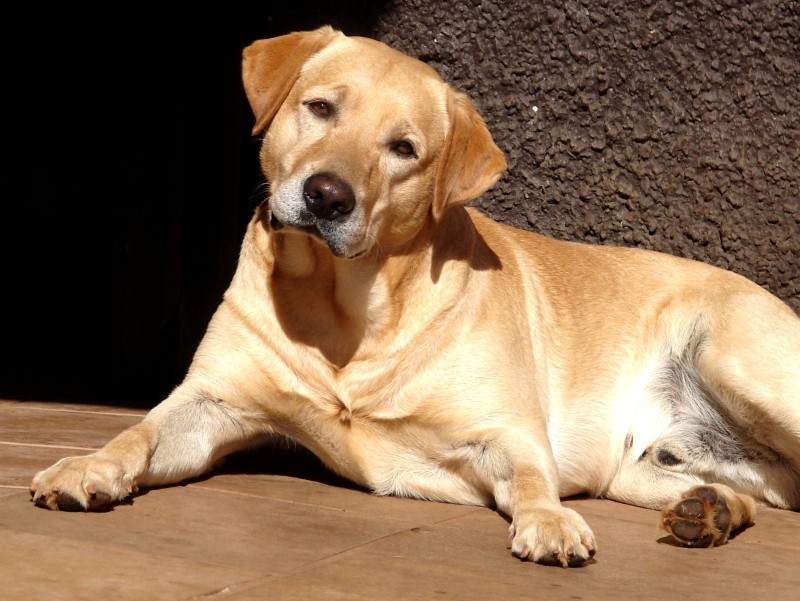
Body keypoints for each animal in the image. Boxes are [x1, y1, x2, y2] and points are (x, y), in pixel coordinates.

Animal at [29, 24, 800, 568]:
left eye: (403, 149)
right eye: (319, 108)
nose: (326, 195)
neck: (347, 311)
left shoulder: (511, 432)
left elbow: (532, 480)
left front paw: (550, 520)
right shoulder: (210, 402)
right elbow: (137, 431)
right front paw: (86, 464)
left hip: (736, 358)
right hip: (640, 472)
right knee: (761, 495)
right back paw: (713, 511)